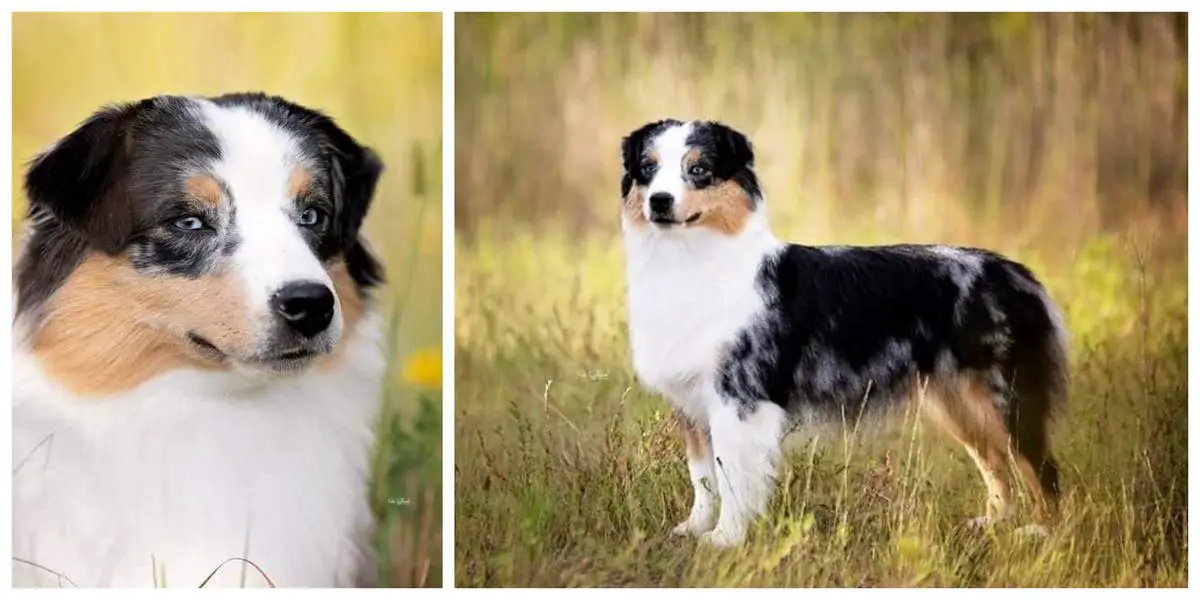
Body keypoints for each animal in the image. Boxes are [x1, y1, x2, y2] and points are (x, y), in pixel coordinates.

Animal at [619, 119, 1070, 547]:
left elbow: (731, 475)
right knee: (995, 463)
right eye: (648, 168)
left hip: (1006, 396)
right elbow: (702, 476)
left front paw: (726, 538)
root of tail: (1020, 275)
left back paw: (1042, 533)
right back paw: (992, 523)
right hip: (959, 403)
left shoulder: (740, 397)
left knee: (1041, 469)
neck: (692, 258)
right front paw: (694, 529)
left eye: (699, 170)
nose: (659, 201)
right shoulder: (692, 402)